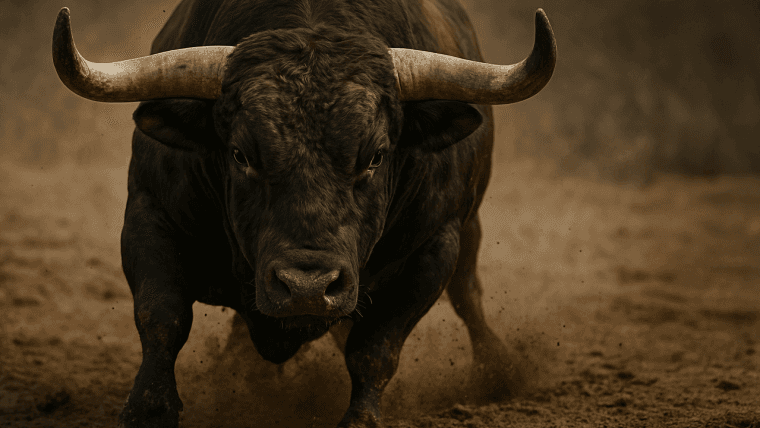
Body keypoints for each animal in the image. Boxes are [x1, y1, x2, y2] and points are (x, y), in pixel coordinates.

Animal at [52, 0, 555, 426]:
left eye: (375, 156)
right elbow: (162, 318)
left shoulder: (432, 248)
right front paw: (148, 410)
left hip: (468, 233)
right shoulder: (150, 216)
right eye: (241, 154)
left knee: (468, 295)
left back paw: (497, 368)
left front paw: (362, 419)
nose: (307, 288)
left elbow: (376, 348)